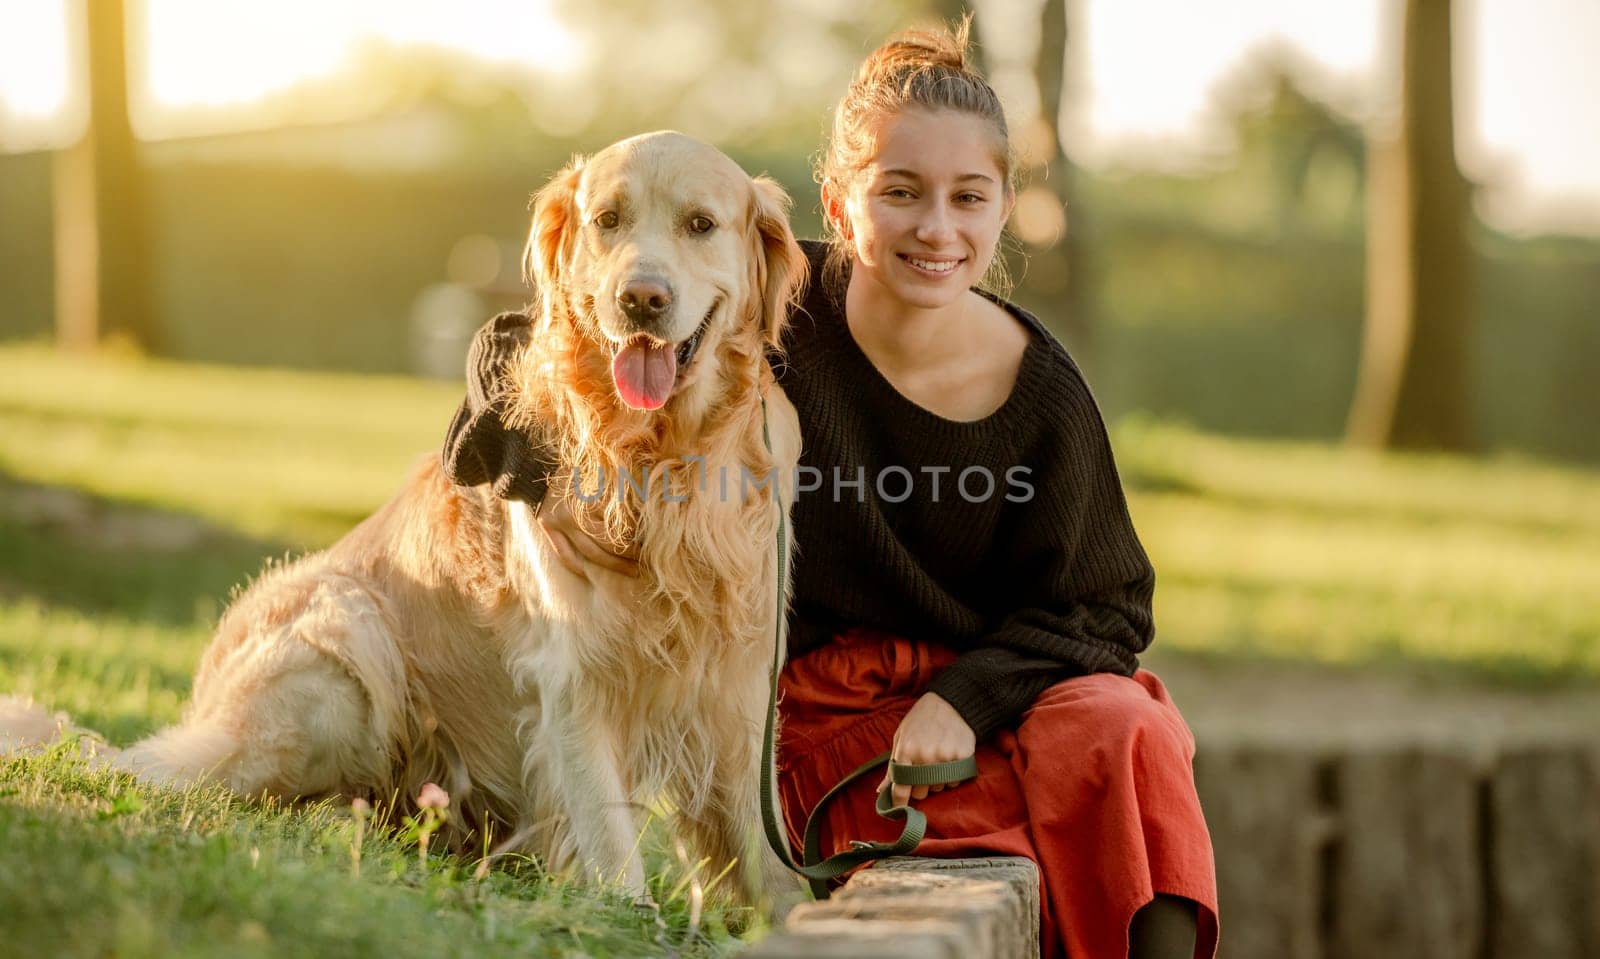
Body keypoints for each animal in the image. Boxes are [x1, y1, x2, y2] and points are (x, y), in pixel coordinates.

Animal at [0, 132, 800, 909]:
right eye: (608, 220)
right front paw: (634, 921)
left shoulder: (739, 685)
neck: (659, 457)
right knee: (162, 776)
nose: (641, 299)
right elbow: (612, 849)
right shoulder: (572, 679)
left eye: (700, 224)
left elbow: (767, 855)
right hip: (348, 641)